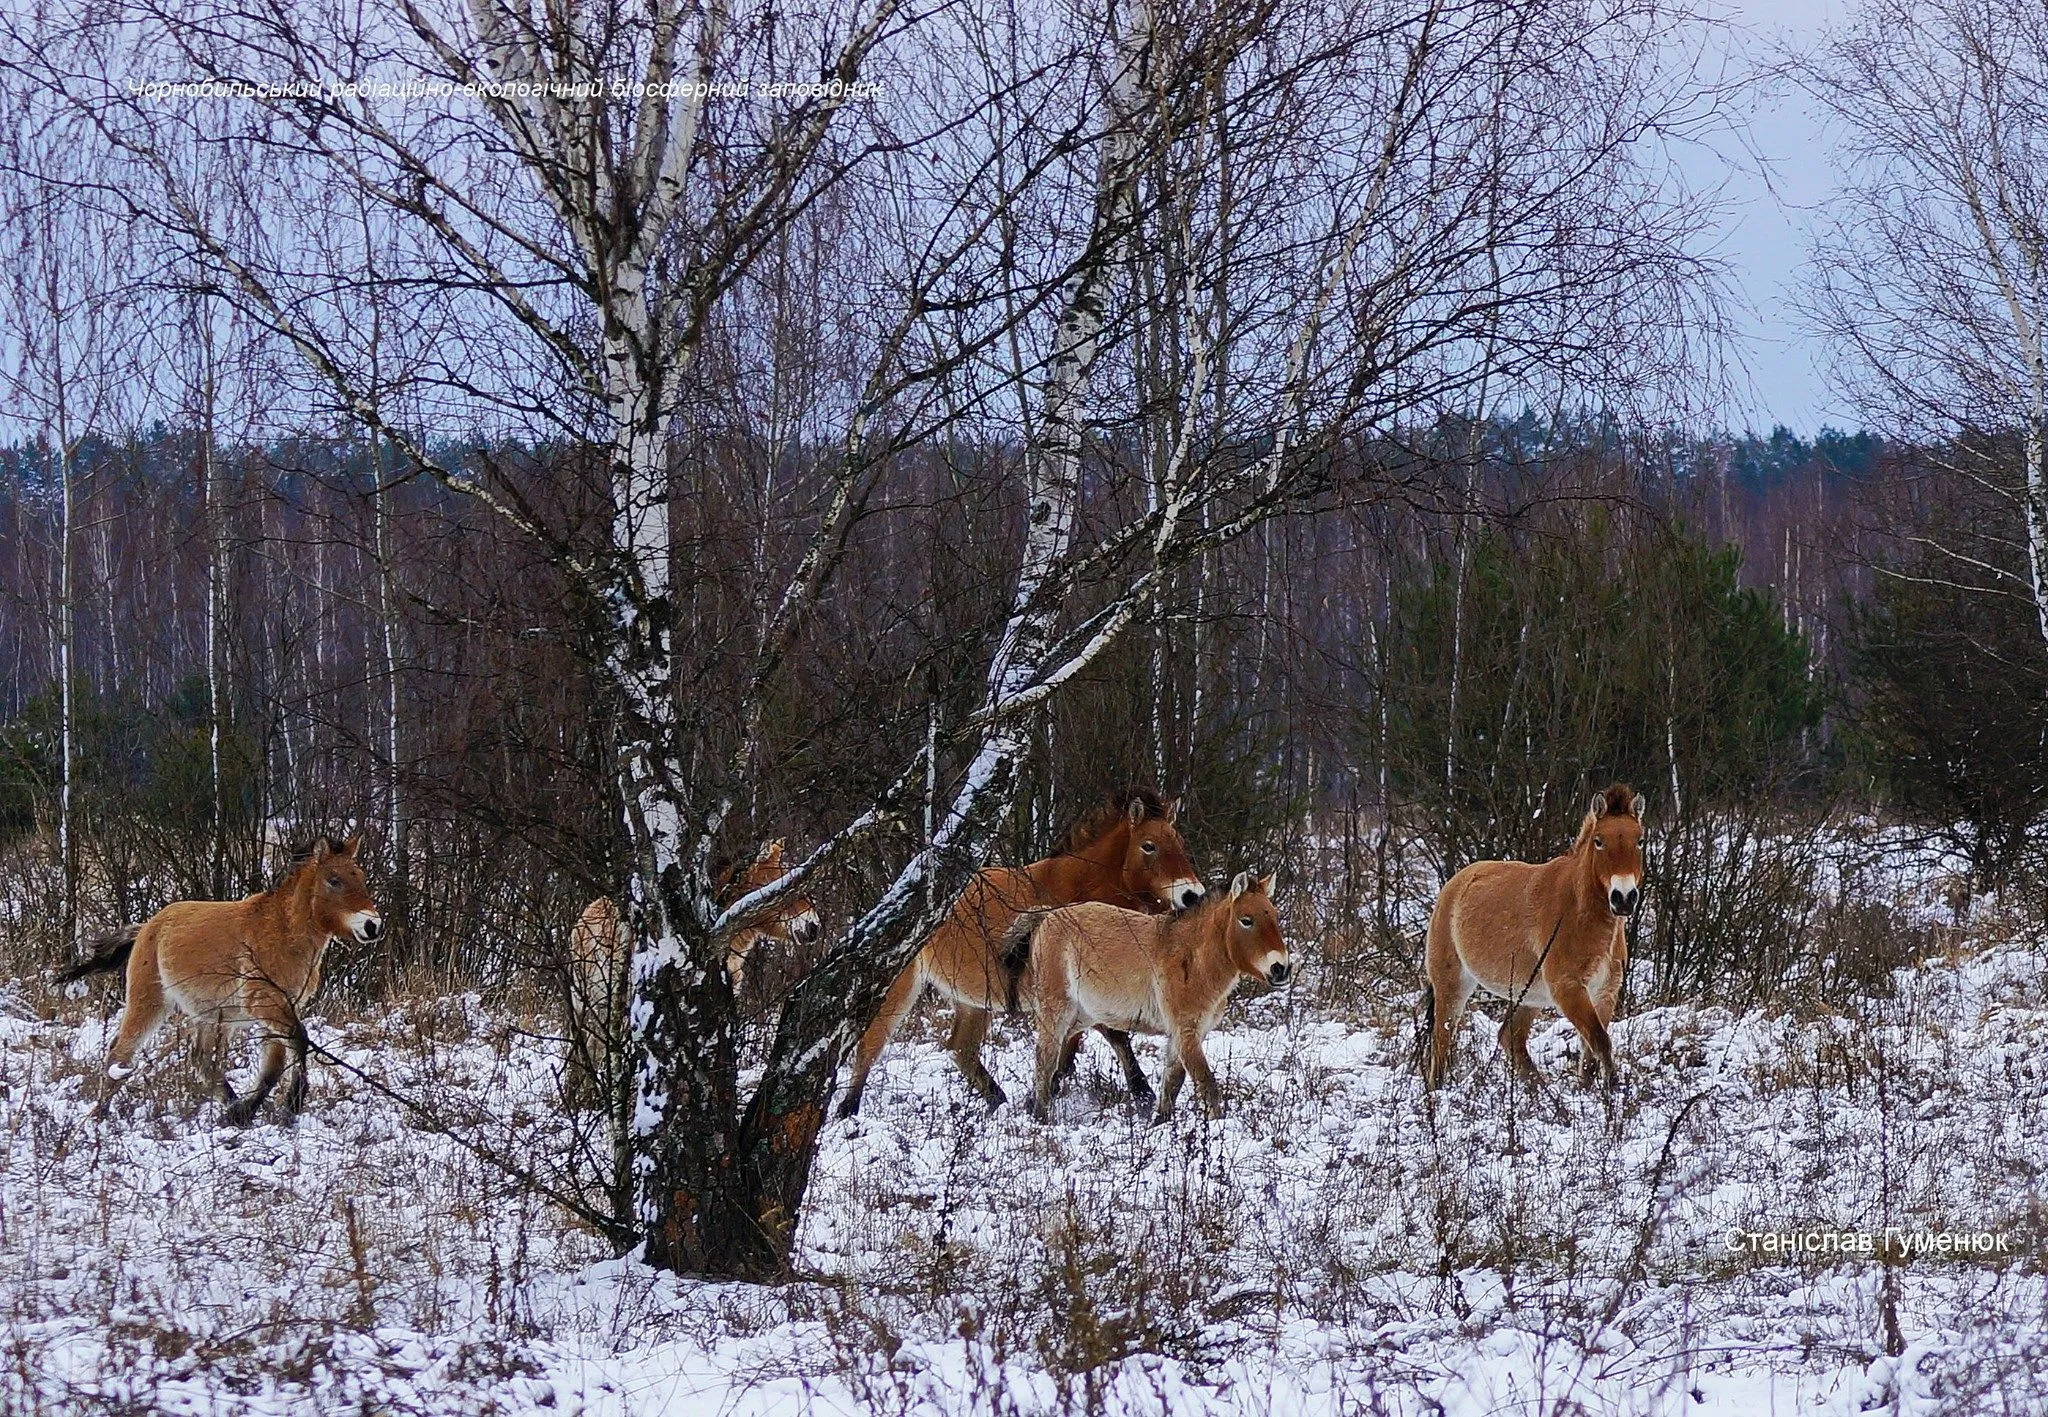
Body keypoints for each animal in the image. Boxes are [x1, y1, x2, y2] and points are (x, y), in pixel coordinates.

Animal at [59, 835, 385, 1122]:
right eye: (334, 880)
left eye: (361, 876)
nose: (372, 926)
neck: (283, 931)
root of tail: (148, 927)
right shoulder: (266, 1003)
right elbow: (299, 1041)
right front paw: (290, 1103)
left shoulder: (283, 1006)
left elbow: (275, 1064)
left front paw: (245, 1112)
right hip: (149, 1002)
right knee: (120, 1052)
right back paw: (99, 1115)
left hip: (212, 1016)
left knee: (201, 1061)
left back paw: (229, 1102)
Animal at [839, 786, 1204, 1122]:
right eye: (1149, 845)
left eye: (1180, 843)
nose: (1192, 895)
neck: (1077, 894)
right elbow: (1113, 1035)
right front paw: (1141, 1093)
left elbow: (1076, 1044)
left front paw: (1049, 1091)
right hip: (899, 990)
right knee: (870, 1045)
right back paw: (848, 1110)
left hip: (974, 1001)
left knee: (961, 1050)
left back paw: (997, 1100)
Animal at [1011, 868, 1286, 1122]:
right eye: (1246, 920)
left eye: (1275, 916)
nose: (1281, 968)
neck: (1191, 958)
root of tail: (1047, 917)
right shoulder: (1186, 1033)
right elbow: (1206, 1083)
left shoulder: (1184, 1035)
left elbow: (1172, 1084)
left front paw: (1161, 1124)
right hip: (1056, 1011)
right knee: (1045, 1060)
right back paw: (1041, 1118)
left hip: (1081, 1017)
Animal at [1425, 782, 1646, 1089]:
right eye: (1599, 841)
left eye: (1640, 841)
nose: (1623, 898)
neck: (1581, 912)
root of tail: (1453, 885)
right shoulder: (1569, 988)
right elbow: (1600, 1042)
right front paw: (1612, 1095)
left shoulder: (1604, 992)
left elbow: (1590, 1054)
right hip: (1452, 986)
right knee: (1441, 1045)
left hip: (1529, 995)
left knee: (1510, 1037)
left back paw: (1540, 1091)